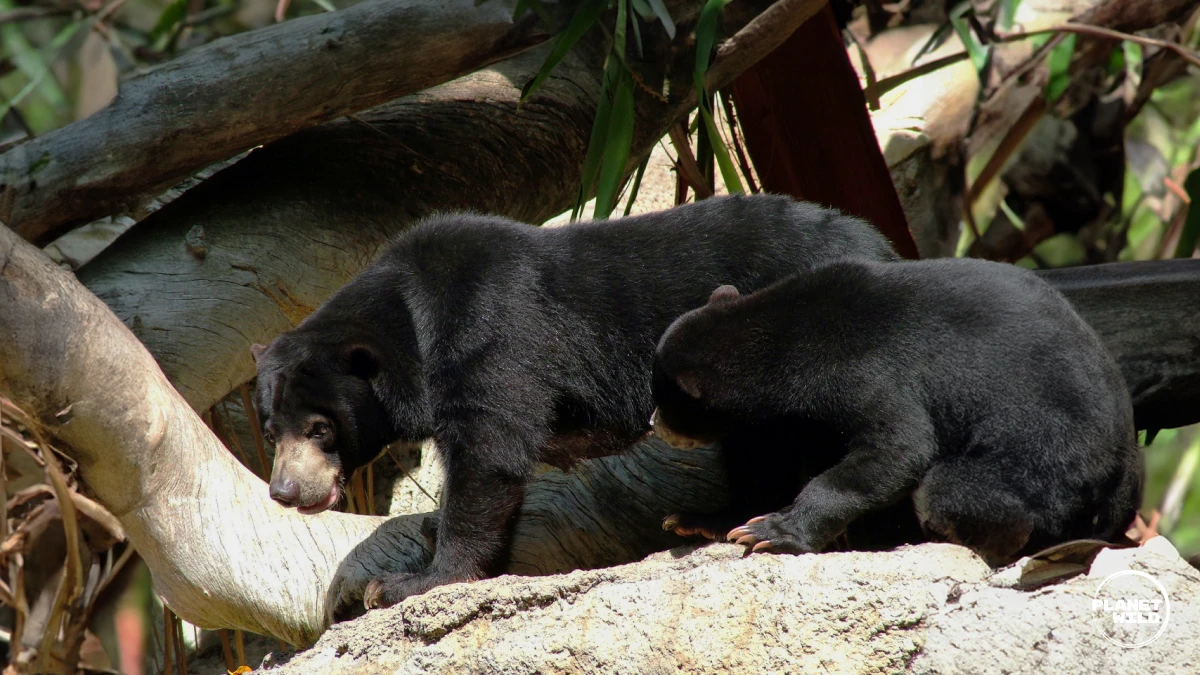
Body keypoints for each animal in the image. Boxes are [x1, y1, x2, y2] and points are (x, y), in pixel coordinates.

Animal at [250, 194, 898, 608]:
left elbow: (491, 453)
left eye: (320, 428)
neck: (411, 324)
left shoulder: (489, 331)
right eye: (270, 431)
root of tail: (883, 246)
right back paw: (712, 520)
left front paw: (409, 582)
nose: (284, 491)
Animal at [651, 257, 1144, 565]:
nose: (654, 426)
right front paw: (701, 520)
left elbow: (896, 449)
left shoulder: (864, 371)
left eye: (665, 401)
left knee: (949, 488)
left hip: (1047, 455)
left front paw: (773, 531)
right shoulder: (797, 421)